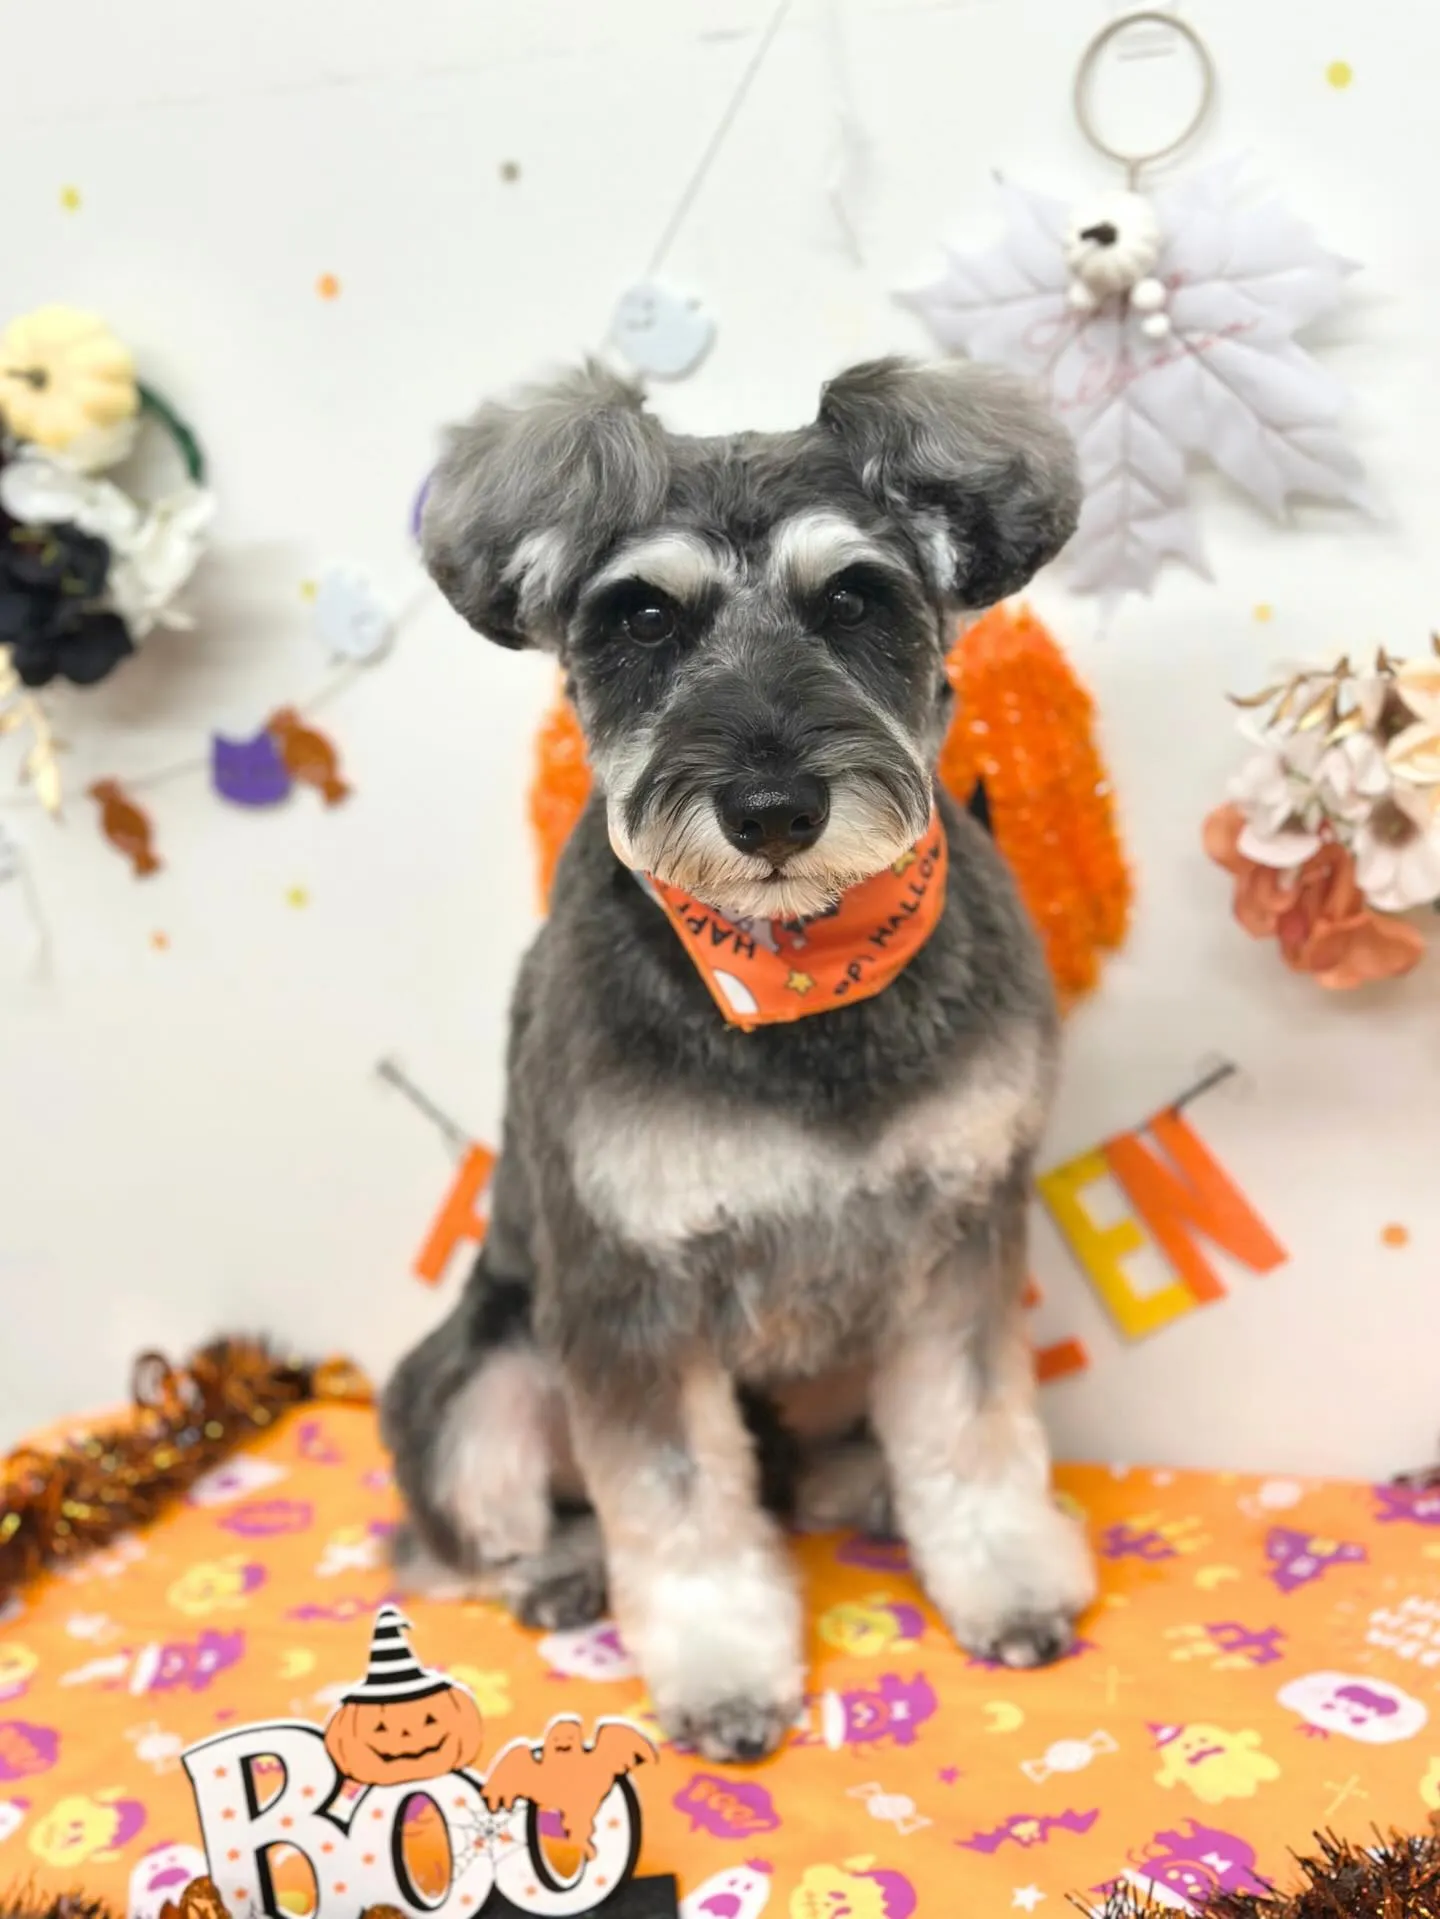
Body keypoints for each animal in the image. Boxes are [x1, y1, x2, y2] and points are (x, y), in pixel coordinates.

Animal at [383, 355, 1095, 1763]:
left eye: (856, 599)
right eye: (646, 617)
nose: (772, 810)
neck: (803, 974)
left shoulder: (962, 1230)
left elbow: (971, 1422)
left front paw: (1006, 1579)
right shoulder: (627, 1287)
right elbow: (675, 1499)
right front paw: (720, 1667)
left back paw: (854, 1481)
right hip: (477, 1380)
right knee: (464, 1533)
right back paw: (554, 1569)